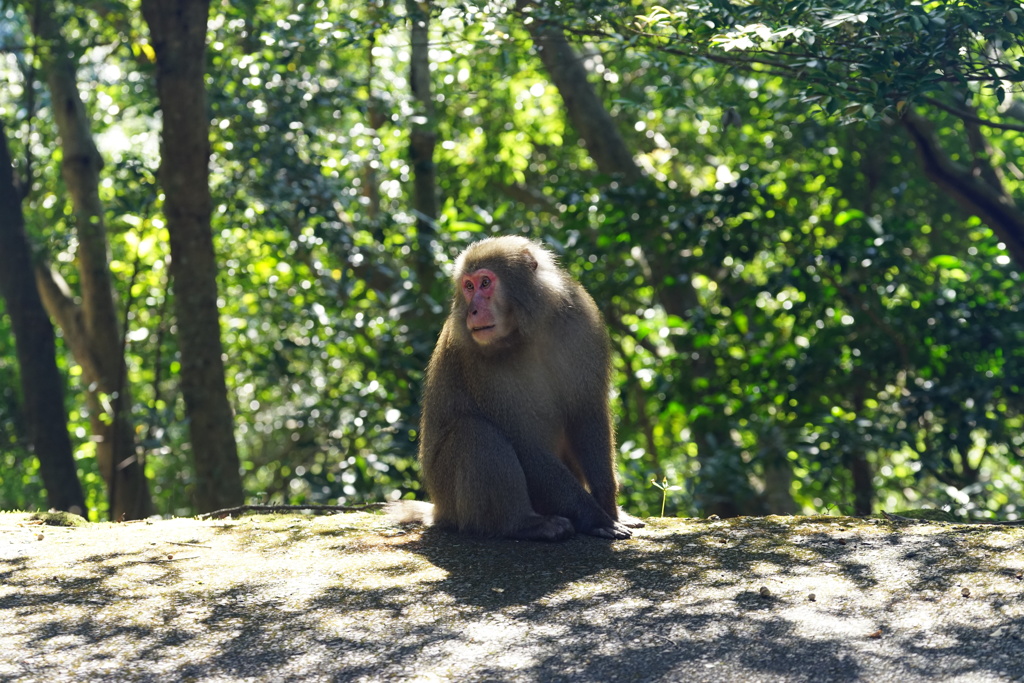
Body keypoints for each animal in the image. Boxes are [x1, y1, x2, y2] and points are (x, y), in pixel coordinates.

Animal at [393, 237, 638, 540]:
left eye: (485, 283)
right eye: (468, 286)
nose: (472, 310)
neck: (527, 331)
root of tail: (439, 510)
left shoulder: (581, 320)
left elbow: (586, 412)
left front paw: (610, 509)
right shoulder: (477, 363)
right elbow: (525, 443)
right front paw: (595, 518)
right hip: (451, 498)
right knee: (474, 432)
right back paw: (522, 523)